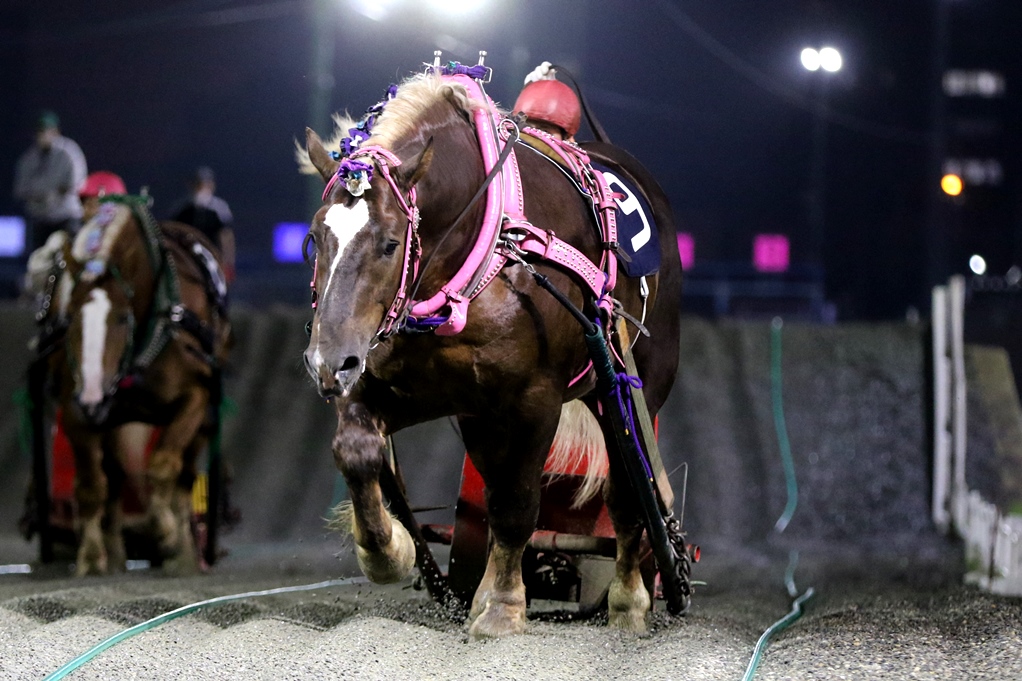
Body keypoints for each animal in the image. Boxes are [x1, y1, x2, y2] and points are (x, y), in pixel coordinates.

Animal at [43, 199, 229, 576]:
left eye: (121, 318)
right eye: (71, 317)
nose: (92, 397)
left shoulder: (194, 398)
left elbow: (162, 467)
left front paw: (167, 534)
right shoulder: (75, 407)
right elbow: (91, 485)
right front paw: (91, 557)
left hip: (203, 416)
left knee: (185, 475)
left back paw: (185, 552)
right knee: (114, 478)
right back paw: (115, 551)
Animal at [300, 75, 678, 638]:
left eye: (390, 243)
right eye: (314, 239)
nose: (328, 362)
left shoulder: (535, 399)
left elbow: (518, 503)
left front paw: (503, 608)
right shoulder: (415, 390)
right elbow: (357, 451)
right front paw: (387, 551)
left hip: (630, 387)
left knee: (629, 491)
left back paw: (629, 603)